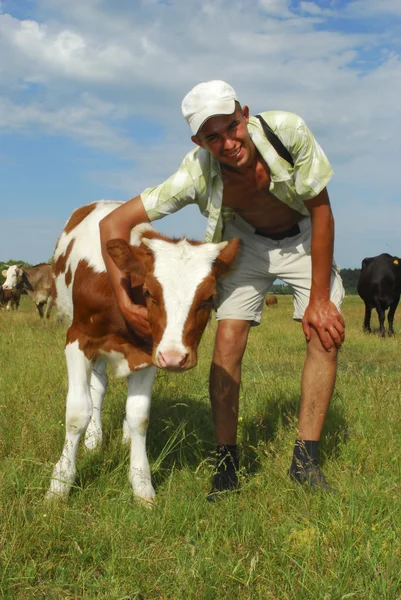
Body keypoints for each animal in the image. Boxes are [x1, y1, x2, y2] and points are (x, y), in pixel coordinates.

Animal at [44, 202, 238, 502]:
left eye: (209, 298)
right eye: (149, 292)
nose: (175, 357)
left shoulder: (150, 353)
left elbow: (139, 416)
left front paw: (142, 485)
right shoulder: (78, 340)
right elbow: (77, 412)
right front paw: (60, 483)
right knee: (96, 388)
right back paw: (94, 439)